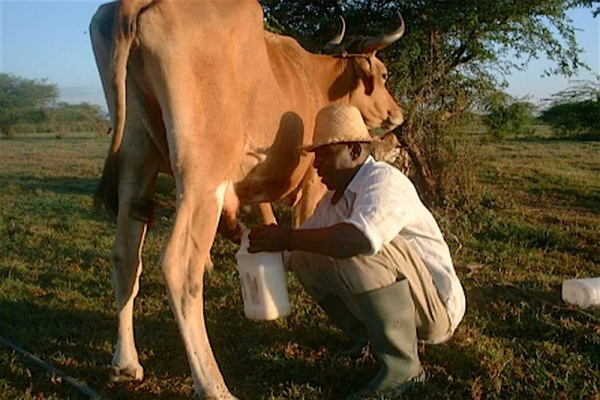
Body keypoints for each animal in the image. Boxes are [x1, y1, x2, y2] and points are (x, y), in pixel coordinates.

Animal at [90, 1, 404, 398]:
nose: (397, 113)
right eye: (384, 73)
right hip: (202, 175)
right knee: (180, 265)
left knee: (125, 256)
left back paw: (126, 364)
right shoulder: (312, 181)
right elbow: (305, 235)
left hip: (136, 162)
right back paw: (213, 385)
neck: (315, 80)